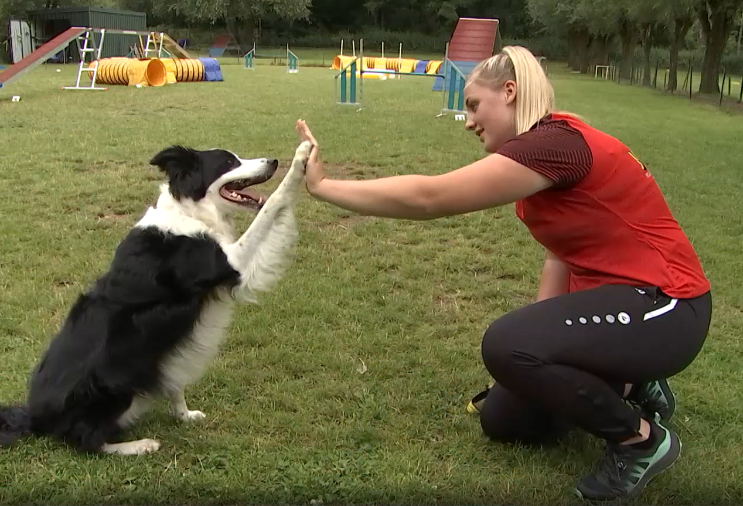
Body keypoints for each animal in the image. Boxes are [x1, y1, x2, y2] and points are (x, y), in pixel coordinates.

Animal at [0, 140, 312, 456]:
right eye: (228, 162)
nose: (273, 161)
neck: (190, 211)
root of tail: (35, 416)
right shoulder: (231, 263)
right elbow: (272, 204)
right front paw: (301, 158)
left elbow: (175, 383)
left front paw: (185, 415)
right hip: (114, 384)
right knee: (86, 441)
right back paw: (140, 445)